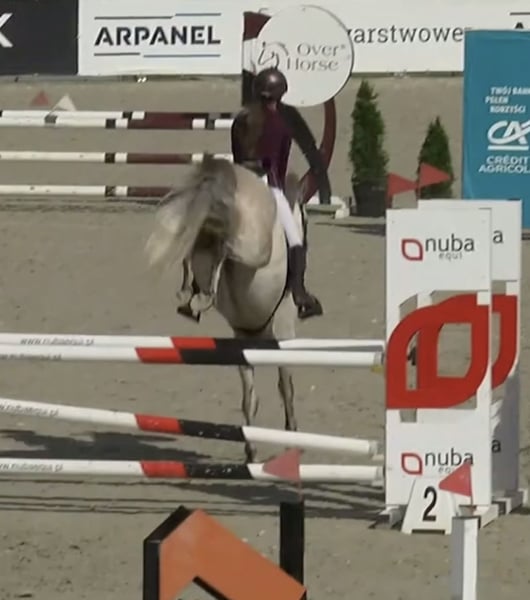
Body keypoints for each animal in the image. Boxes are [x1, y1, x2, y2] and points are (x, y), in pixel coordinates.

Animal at [144, 155, 308, 462]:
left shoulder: (242, 339)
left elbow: (250, 398)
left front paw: (252, 450)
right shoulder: (284, 331)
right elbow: (287, 388)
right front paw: (293, 438)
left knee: (201, 247)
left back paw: (193, 294)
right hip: (256, 248)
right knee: (230, 248)